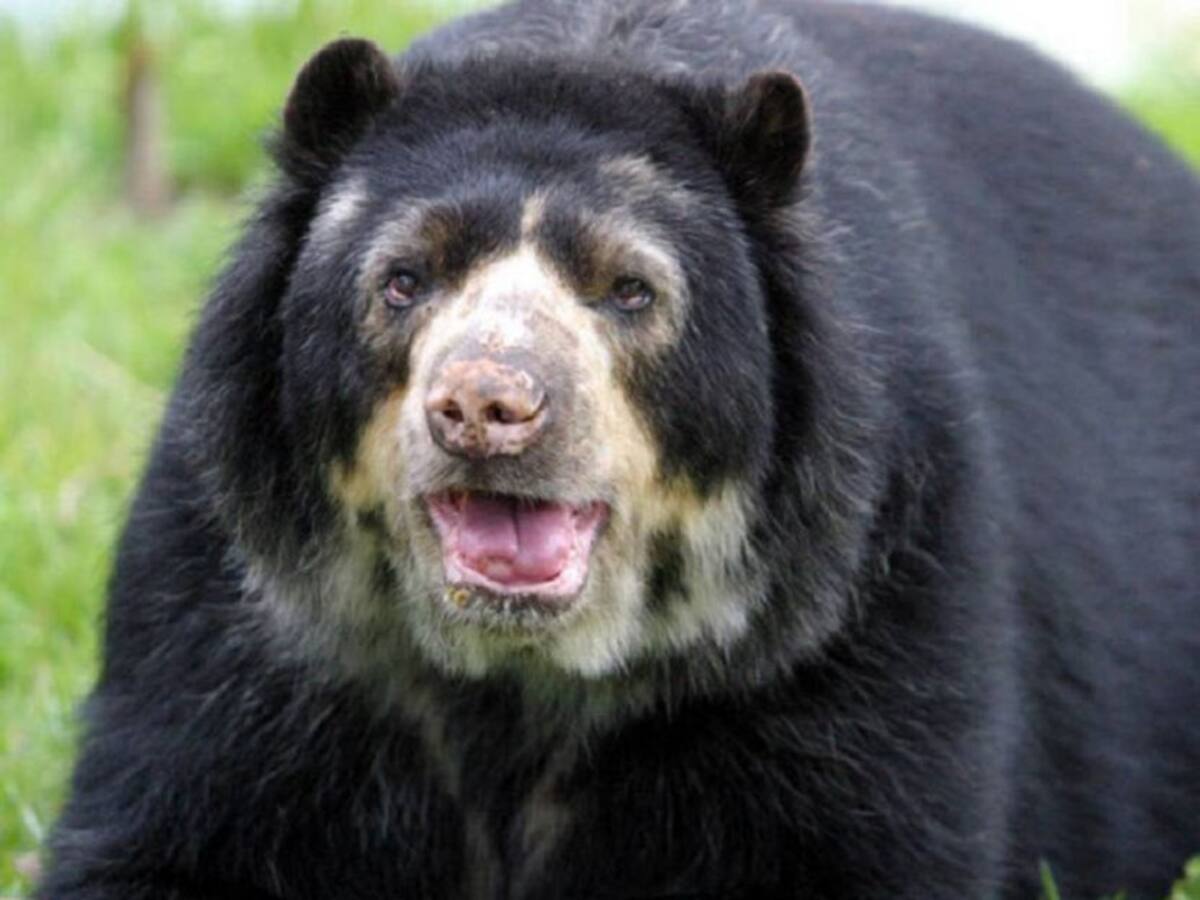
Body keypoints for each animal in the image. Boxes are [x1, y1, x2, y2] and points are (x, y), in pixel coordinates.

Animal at [38, 1, 1200, 898]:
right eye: (403, 280)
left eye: (629, 291)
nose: (487, 405)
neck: (520, 678)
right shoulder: (241, 617)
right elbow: (174, 829)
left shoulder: (867, 599)